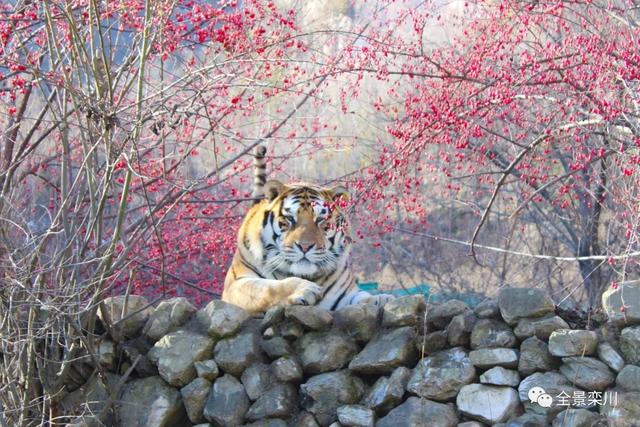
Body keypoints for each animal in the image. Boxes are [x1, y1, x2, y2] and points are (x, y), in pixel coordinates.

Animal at [222, 145, 392, 313]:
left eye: (321, 220)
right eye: (290, 219)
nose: (305, 246)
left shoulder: (346, 294)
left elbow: (364, 297)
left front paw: (384, 299)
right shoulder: (236, 285)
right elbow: (270, 287)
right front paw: (306, 289)